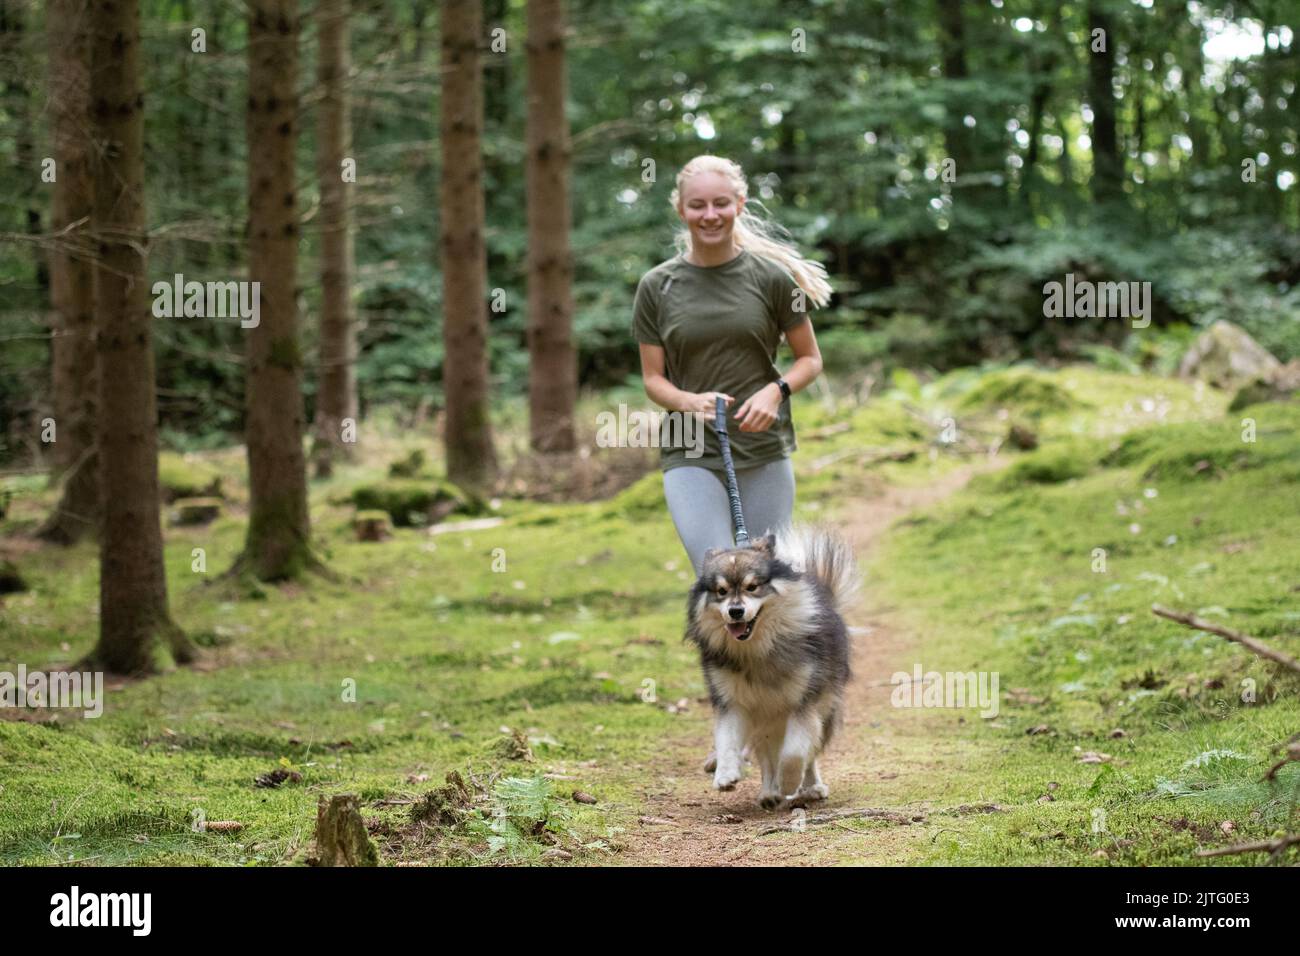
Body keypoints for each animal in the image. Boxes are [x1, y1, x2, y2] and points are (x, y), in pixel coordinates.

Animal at [686, 528, 857, 811]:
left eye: (752, 587)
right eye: (721, 591)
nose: (735, 611)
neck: (757, 650)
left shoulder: (803, 703)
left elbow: (795, 752)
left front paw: (789, 782)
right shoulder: (732, 702)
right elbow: (727, 740)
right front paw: (726, 774)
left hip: (823, 710)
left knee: (808, 754)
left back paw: (811, 786)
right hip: (764, 720)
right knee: (766, 757)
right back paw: (769, 793)